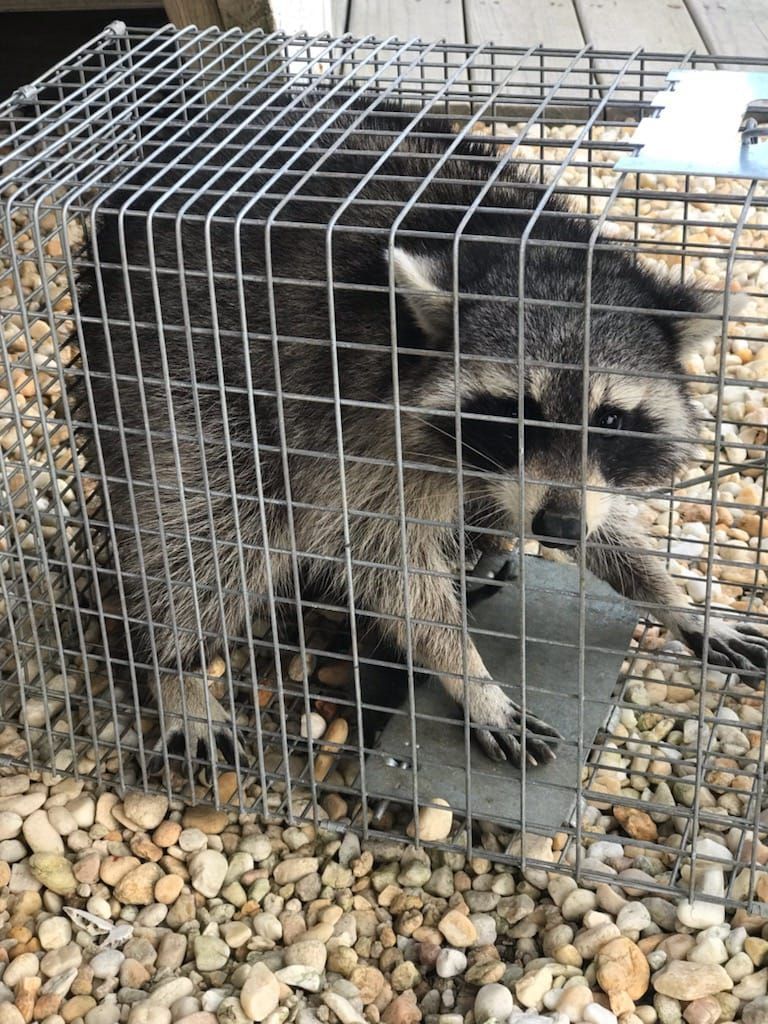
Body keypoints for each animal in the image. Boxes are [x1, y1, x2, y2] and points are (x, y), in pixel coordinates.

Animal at [74, 94, 768, 770]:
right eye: (514, 414)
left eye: (612, 419)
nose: (558, 528)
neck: (520, 244)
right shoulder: (352, 420)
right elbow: (384, 562)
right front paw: (467, 672)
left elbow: (605, 518)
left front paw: (675, 597)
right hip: (175, 371)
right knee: (210, 523)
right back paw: (174, 665)